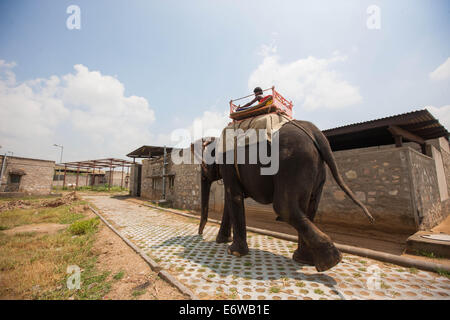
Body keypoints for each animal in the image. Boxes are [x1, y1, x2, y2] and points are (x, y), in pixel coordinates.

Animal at [199, 119, 374, 272]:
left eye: (203, 165)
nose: (200, 234)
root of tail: (315, 132)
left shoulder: (228, 165)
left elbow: (234, 196)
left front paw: (233, 252)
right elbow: (231, 199)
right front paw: (222, 242)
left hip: (292, 162)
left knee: (284, 207)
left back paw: (330, 261)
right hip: (315, 168)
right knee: (309, 208)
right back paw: (307, 260)